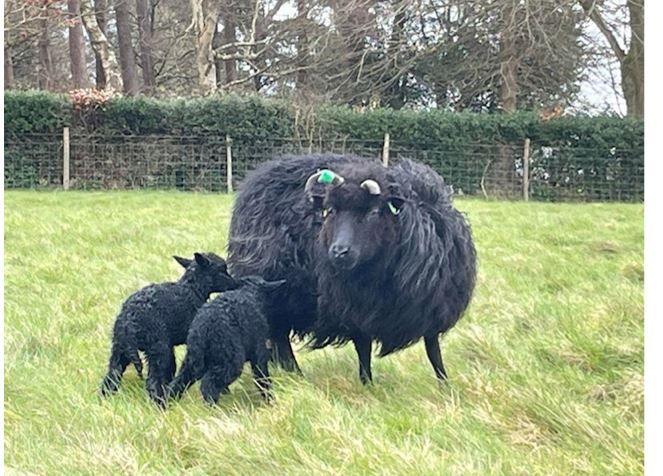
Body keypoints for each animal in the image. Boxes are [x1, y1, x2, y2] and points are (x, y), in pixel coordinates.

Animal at [97, 253, 235, 406]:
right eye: (222, 270)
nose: (236, 283)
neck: (192, 288)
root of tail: (128, 320)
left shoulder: (170, 345)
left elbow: (171, 368)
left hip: (120, 349)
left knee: (112, 376)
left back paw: (105, 400)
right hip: (157, 347)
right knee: (152, 381)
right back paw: (160, 403)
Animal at [166, 276, 286, 406]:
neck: (249, 292)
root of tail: (203, 328)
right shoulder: (259, 353)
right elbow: (262, 379)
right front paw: (270, 400)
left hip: (194, 359)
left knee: (178, 382)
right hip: (230, 358)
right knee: (209, 386)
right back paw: (212, 407)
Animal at [228, 154, 478, 384]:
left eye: (373, 212)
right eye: (330, 210)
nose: (339, 251)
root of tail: (258, 177)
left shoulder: (433, 308)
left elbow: (433, 350)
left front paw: (444, 384)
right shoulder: (354, 310)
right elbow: (363, 348)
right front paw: (367, 384)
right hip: (277, 292)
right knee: (279, 336)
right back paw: (296, 374)